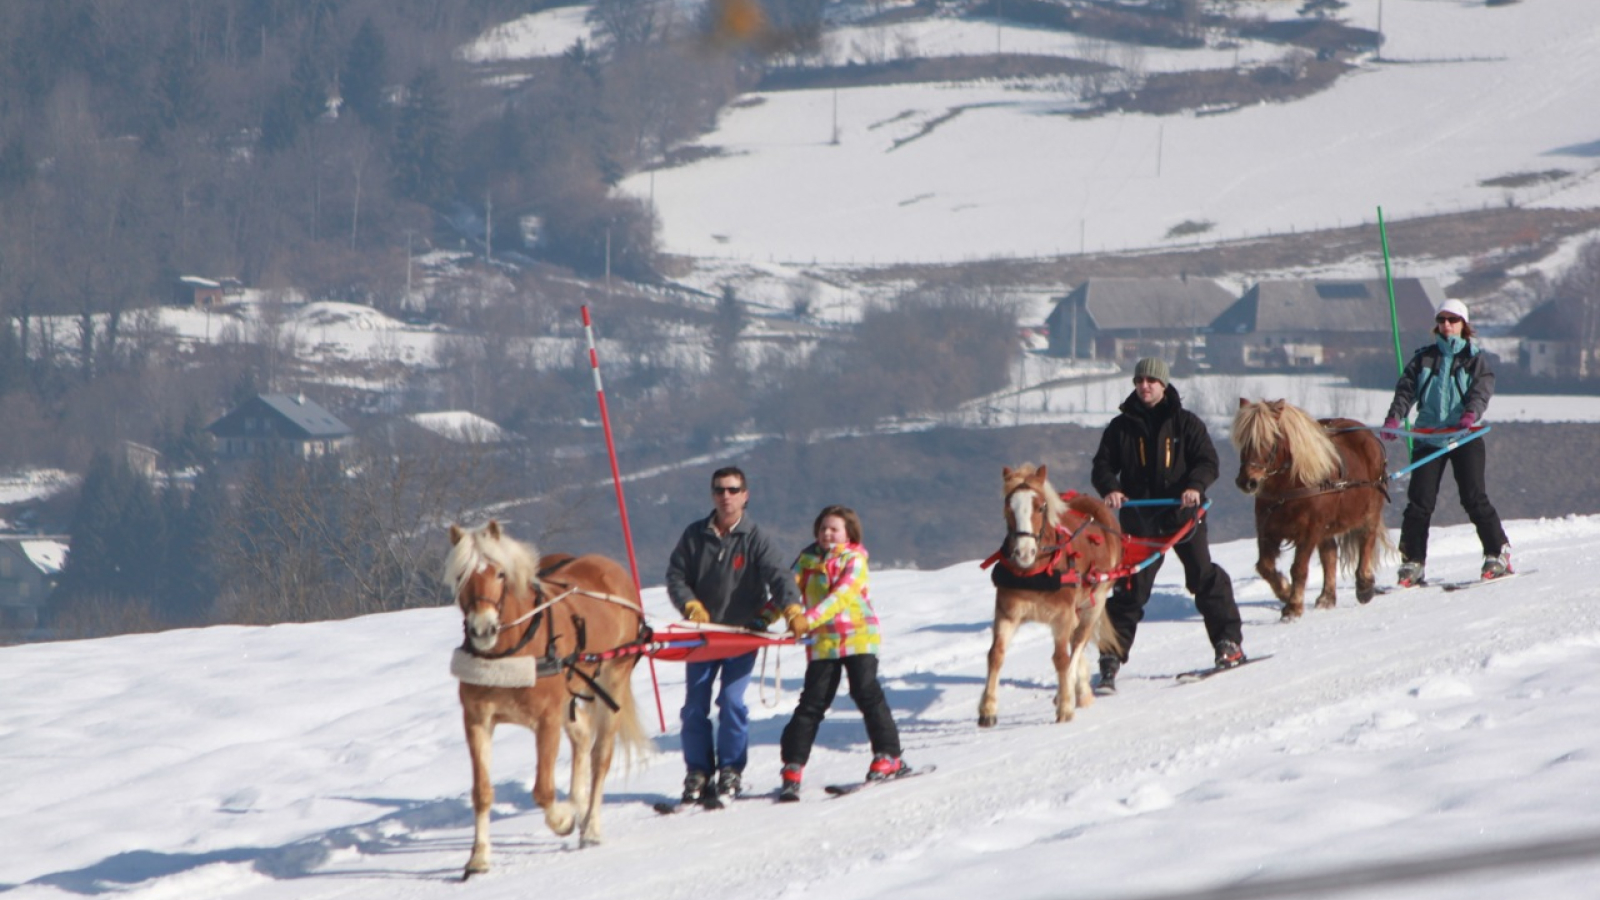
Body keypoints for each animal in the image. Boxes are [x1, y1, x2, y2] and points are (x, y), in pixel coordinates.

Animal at [444, 518, 649, 877]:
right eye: (460, 575)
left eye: (499, 573)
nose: (482, 630)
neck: (514, 648)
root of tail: (610, 567)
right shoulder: (477, 719)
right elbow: (482, 792)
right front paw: (479, 857)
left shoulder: (548, 719)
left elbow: (542, 790)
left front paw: (564, 820)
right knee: (582, 734)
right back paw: (579, 805)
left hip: (613, 679)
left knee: (600, 755)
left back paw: (590, 825)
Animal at [979, 464, 1120, 723]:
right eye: (1008, 506)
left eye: (1040, 506)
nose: (1024, 552)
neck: (1036, 570)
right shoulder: (1007, 613)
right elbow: (996, 654)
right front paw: (988, 709)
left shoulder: (1062, 616)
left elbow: (1062, 658)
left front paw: (1064, 706)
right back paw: (1081, 691)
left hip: (1094, 604)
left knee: (1079, 642)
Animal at [1228, 398, 1395, 614]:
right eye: (1243, 440)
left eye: (1270, 439)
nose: (1247, 482)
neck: (1287, 487)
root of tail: (1367, 435)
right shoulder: (1268, 530)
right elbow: (1264, 566)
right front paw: (1285, 591)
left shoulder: (1309, 532)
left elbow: (1299, 568)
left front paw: (1293, 607)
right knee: (1330, 554)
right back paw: (1327, 597)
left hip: (1369, 511)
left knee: (1366, 540)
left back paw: (1364, 586)